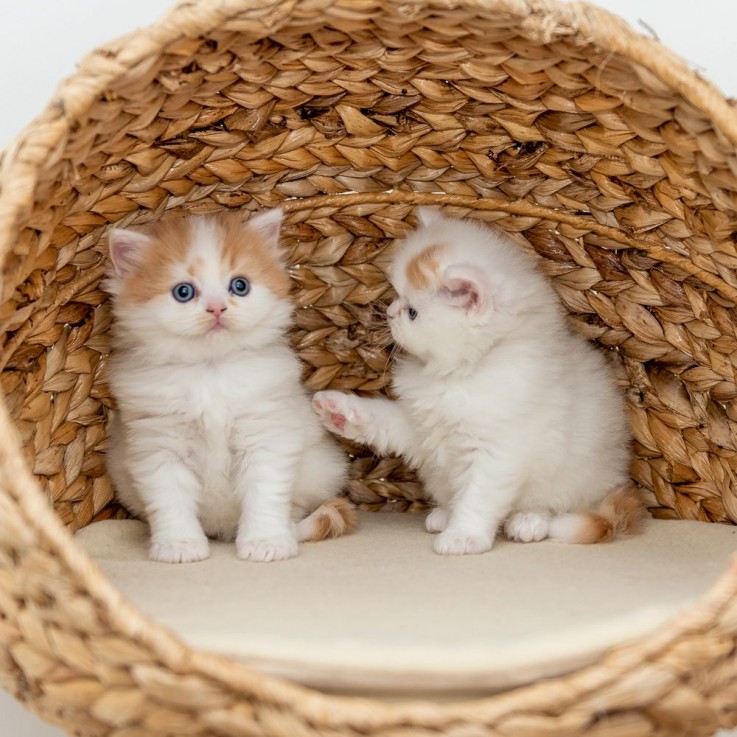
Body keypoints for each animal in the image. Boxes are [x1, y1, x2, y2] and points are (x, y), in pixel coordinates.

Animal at [105, 207, 356, 564]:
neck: (210, 372)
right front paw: (179, 545)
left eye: (239, 286)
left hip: (321, 468)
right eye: (183, 292)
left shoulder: (266, 437)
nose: (217, 308)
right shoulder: (158, 445)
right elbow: (170, 500)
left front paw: (266, 542)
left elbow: (265, 494)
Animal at [314, 210, 640, 556]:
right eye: (396, 297)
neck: (460, 374)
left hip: (574, 475)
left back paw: (529, 521)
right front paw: (340, 411)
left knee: (552, 503)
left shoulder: (497, 450)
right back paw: (444, 514)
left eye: (412, 312)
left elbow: (478, 498)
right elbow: (382, 420)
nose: (390, 312)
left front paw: (464, 536)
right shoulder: (421, 426)